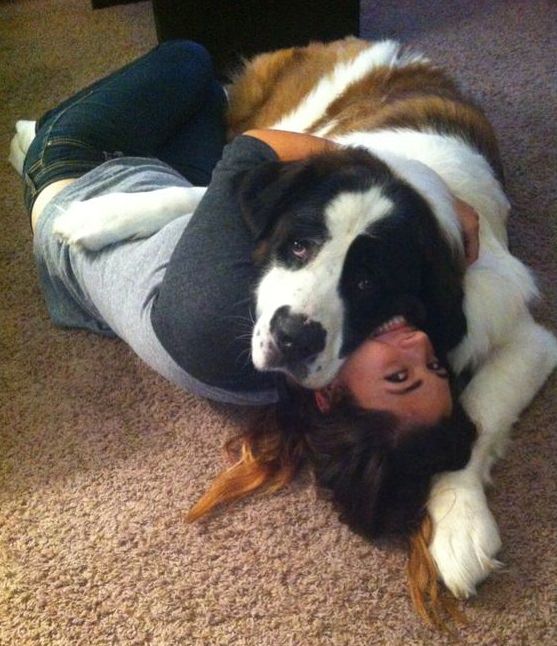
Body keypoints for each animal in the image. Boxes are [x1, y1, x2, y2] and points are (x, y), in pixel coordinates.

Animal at [37, 40, 552, 604]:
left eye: (366, 283)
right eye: (299, 247)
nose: (294, 338)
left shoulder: (513, 324)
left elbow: (480, 409)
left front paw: (460, 522)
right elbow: (198, 192)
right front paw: (100, 216)